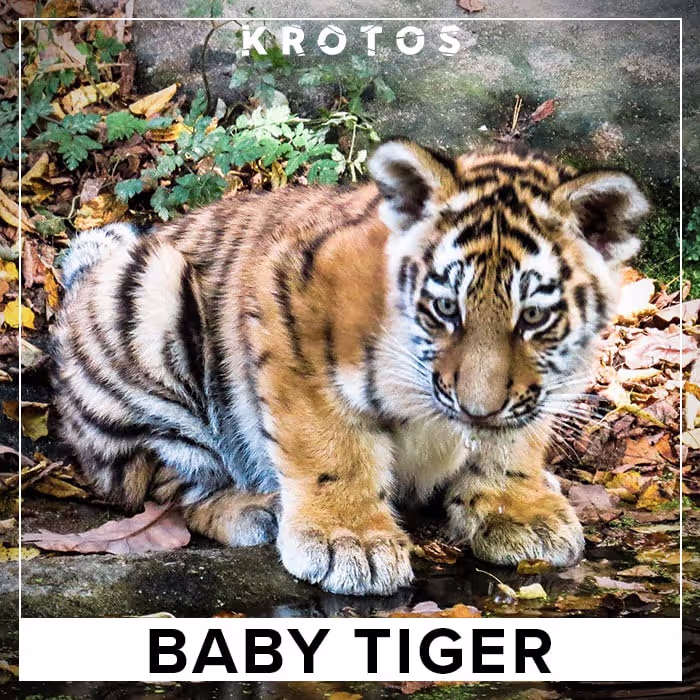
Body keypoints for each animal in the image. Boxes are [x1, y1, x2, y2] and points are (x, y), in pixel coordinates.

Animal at [51, 139, 649, 596]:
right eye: (445, 309)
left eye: (533, 317)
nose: (477, 410)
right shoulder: (290, 311)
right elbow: (330, 445)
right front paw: (351, 542)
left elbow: (513, 440)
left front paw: (519, 511)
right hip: (150, 297)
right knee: (161, 484)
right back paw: (257, 508)